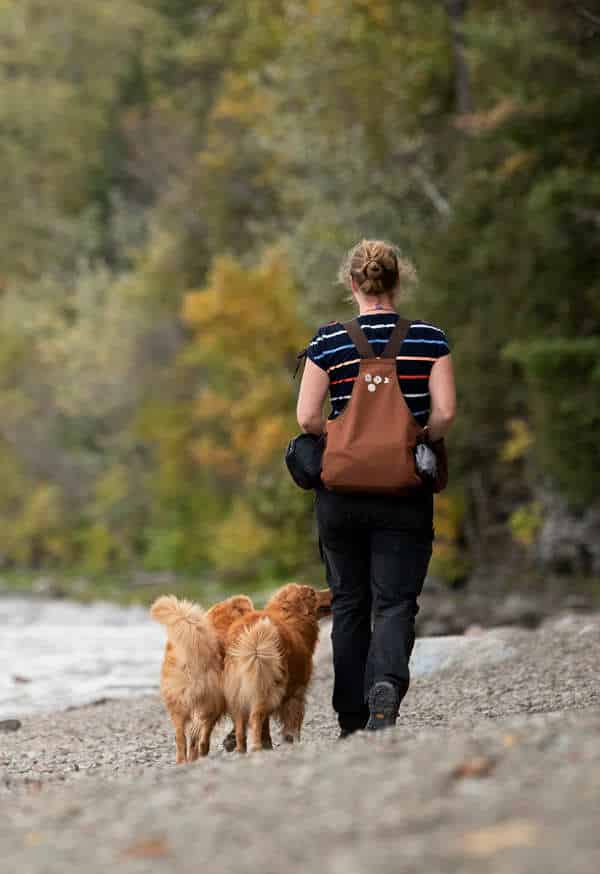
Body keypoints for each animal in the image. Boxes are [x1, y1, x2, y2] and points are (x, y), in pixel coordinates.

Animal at [152, 588, 253, 760]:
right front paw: (231, 741)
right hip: (211, 702)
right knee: (200, 737)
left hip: (178, 705)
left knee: (182, 739)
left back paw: (186, 760)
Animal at [224, 584, 328, 752]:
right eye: (313, 593)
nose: (332, 590)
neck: (290, 617)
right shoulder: (297, 692)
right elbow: (294, 722)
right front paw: (292, 742)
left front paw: (268, 744)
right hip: (270, 688)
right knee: (255, 717)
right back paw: (256, 747)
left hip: (239, 691)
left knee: (241, 724)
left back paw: (241, 750)